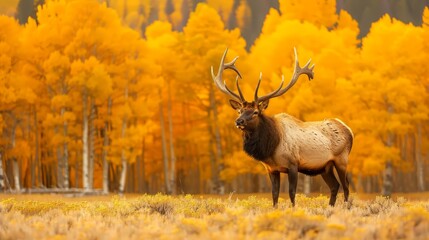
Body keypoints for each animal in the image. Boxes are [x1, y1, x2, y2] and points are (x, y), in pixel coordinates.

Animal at [209, 48, 352, 206]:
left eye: (255, 112)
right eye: (240, 111)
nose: (238, 121)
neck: (271, 147)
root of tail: (348, 129)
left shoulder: (293, 164)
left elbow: (292, 193)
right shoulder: (272, 169)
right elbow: (274, 194)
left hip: (341, 160)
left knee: (346, 186)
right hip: (325, 166)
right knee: (335, 186)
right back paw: (331, 207)